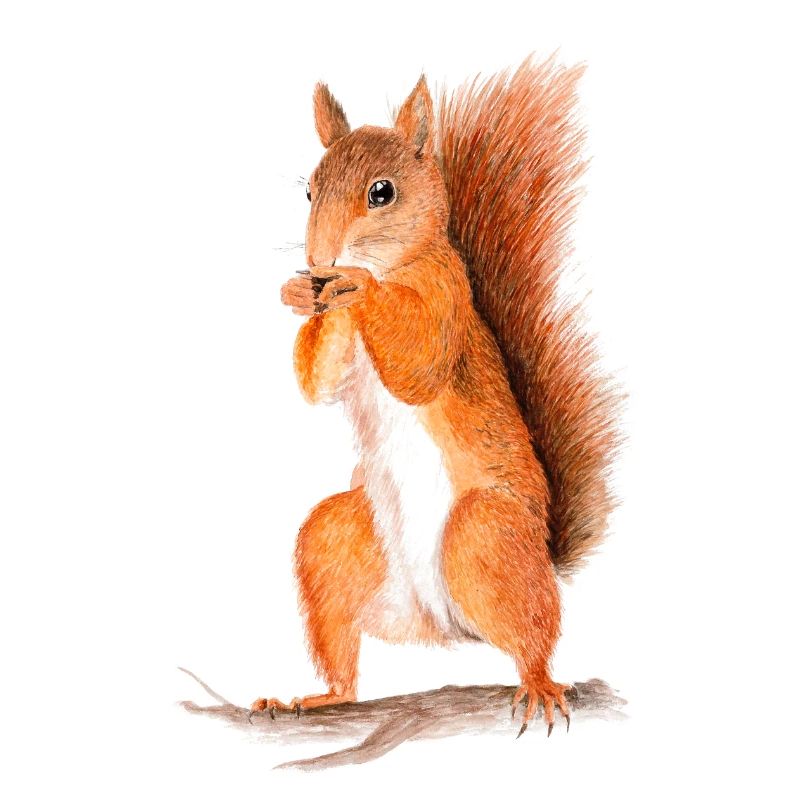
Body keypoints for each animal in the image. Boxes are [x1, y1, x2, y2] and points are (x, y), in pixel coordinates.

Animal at [251, 57, 619, 737]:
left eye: (382, 192)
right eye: (309, 191)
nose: (319, 259)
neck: (397, 263)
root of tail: (442, 628)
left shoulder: (448, 293)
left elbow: (418, 365)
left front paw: (356, 285)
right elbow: (319, 383)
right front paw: (303, 296)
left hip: (486, 535)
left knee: (533, 635)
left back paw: (538, 683)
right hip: (335, 545)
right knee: (342, 648)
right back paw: (319, 697)